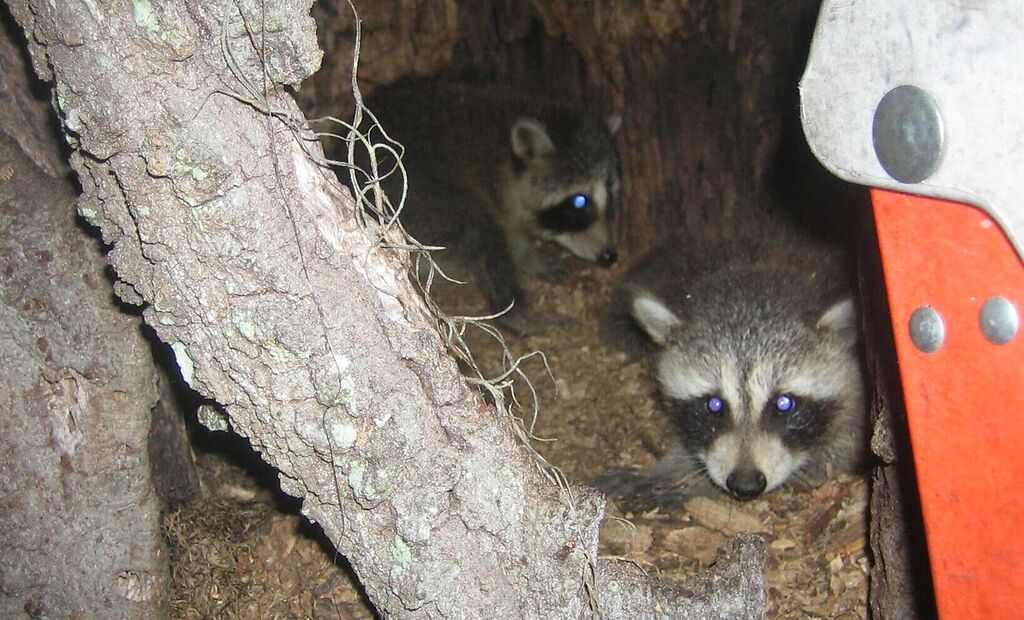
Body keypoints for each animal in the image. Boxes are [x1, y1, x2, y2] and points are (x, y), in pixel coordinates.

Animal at [356, 79, 621, 334]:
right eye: (579, 201)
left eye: (611, 194)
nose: (609, 256)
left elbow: (516, 238)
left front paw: (529, 259)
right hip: (418, 201)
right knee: (481, 235)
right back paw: (516, 314)